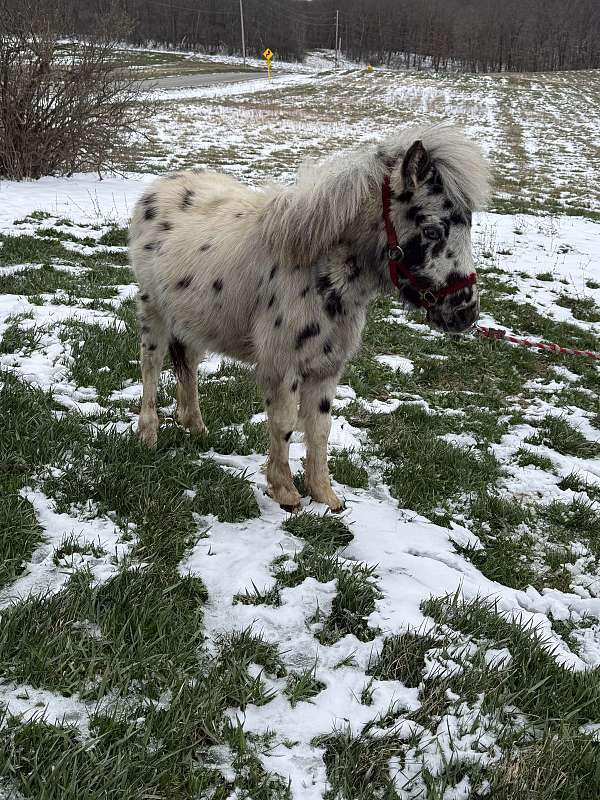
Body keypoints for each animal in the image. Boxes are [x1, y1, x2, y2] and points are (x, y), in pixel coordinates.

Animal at [129, 124, 490, 512]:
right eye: (433, 231)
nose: (465, 312)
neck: (316, 269)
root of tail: (155, 190)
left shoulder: (326, 368)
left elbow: (320, 428)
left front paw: (325, 495)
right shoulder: (282, 365)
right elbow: (284, 423)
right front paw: (285, 492)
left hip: (193, 324)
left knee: (190, 368)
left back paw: (196, 428)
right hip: (154, 314)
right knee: (150, 367)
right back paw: (148, 435)